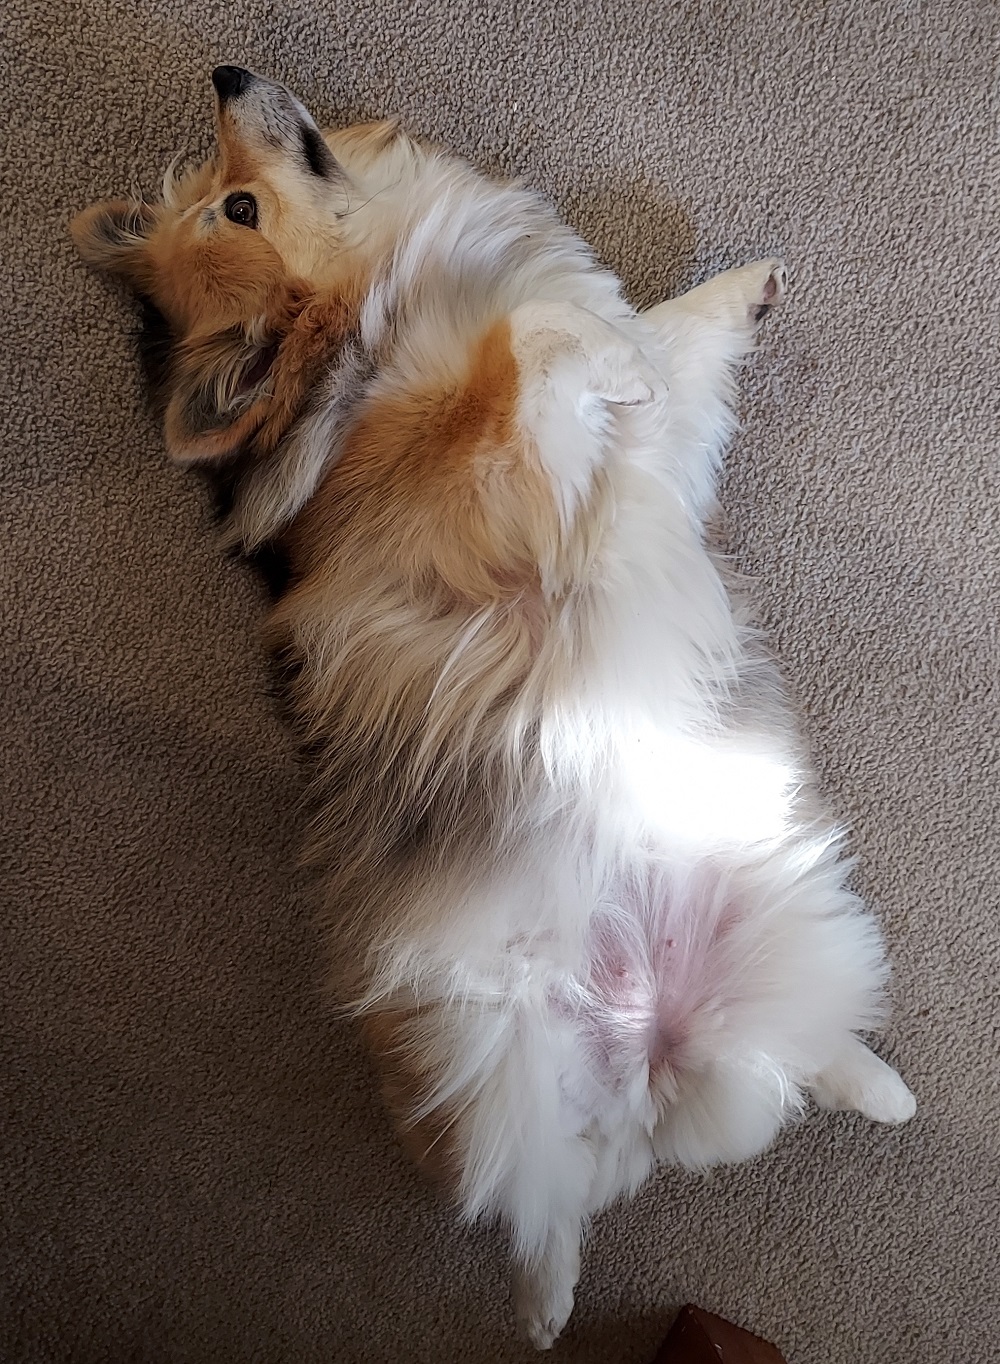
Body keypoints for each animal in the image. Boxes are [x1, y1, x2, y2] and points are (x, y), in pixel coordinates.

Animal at [72, 66, 916, 1349]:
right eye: (235, 207)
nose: (226, 74)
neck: (381, 310)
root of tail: (643, 1037)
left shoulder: (656, 443)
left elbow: (657, 335)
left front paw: (742, 289)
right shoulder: (504, 473)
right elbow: (548, 342)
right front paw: (611, 356)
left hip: (788, 922)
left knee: (797, 1051)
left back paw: (882, 1089)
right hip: (479, 1052)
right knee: (534, 1199)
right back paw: (547, 1304)